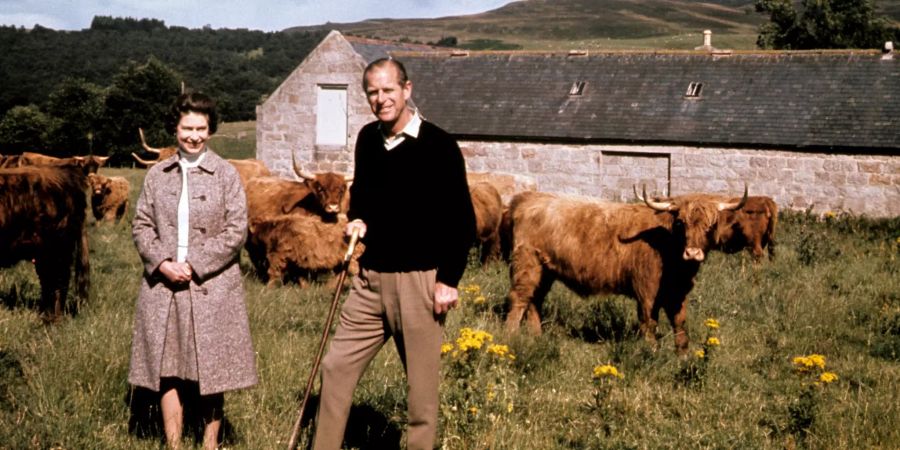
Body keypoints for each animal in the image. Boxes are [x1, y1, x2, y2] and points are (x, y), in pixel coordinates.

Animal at [506, 187, 744, 356]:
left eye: (710, 225)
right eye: (681, 223)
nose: (693, 253)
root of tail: (529, 198)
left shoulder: (677, 293)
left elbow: (680, 323)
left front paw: (683, 356)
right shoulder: (646, 292)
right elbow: (649, 323)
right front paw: (652, 353)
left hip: (545, 271)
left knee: (534, 300)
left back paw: (537, 336)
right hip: (527, 264)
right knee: (519, 299)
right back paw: (511, 337)